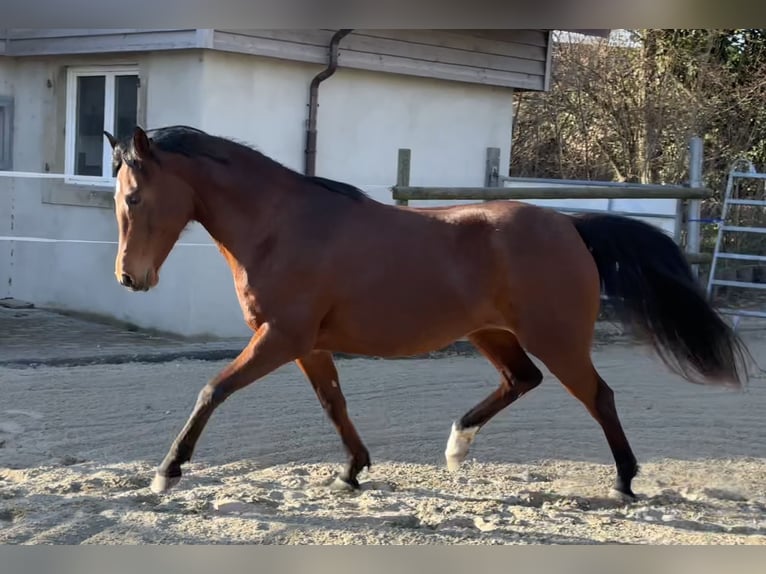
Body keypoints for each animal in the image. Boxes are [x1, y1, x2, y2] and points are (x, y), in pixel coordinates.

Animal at [104, 125, 752, 500]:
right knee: (522, 379)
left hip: (558, 338)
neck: (280, 226)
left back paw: (624, 481)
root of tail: (569, 223)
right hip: (493, 333)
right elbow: (334, 404)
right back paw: (457, 448)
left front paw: (167, 471)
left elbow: (212, 390)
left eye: (133, 196)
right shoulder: (307, 344)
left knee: (599, 396)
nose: (129, 279)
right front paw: (352, 471)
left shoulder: (280, 337)